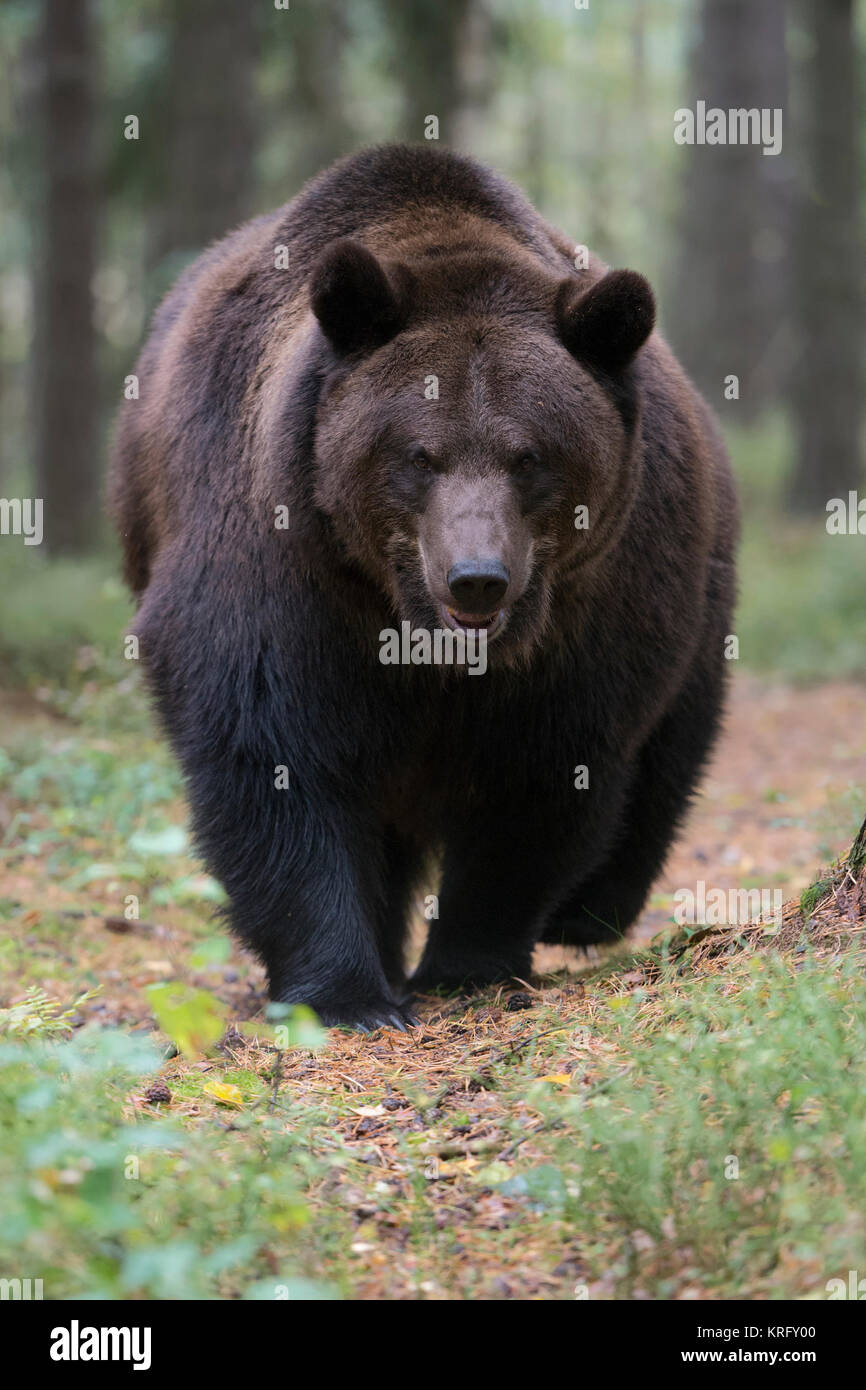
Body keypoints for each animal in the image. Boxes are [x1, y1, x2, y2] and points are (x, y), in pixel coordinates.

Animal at [109, 143, 738, 1030]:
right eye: (419, 454)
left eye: (529, 455)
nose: (477, 580)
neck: (418, 632)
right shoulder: (281, 560)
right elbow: (272, 755)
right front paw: (346, 991)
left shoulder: (593, 604)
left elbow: (544, 772)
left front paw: (471, 962)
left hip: (698, 581)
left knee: (671, 753)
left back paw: (587, 911)